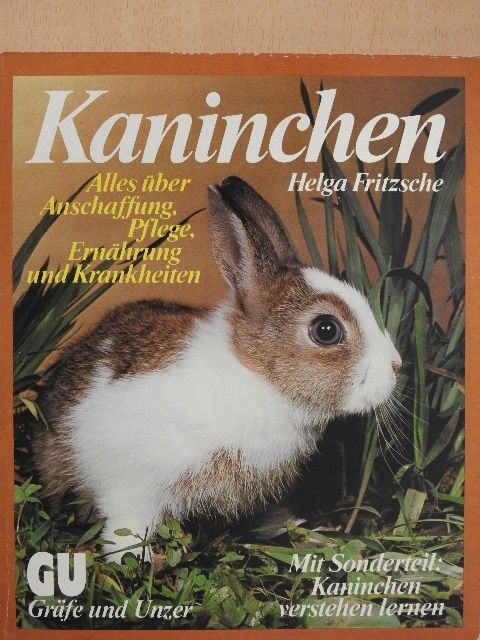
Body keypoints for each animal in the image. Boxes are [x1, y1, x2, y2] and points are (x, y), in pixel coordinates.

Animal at [34, 176, 401, 563]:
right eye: (326, 330)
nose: (396, 365)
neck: (257, 377)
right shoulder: (134, 488)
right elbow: (128, 528)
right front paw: (132, 561)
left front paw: (300, 531)